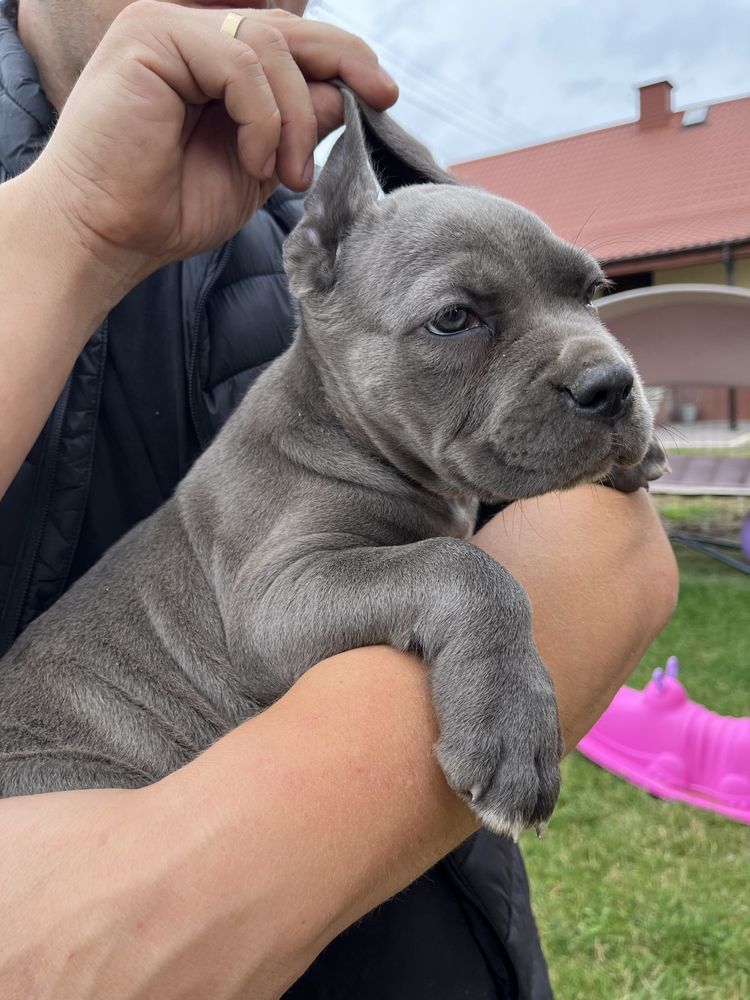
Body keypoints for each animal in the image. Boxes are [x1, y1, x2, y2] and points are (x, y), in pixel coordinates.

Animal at [0, 90, 668, 836]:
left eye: (591, 290)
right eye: (454, 319)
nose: (612, 385)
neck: (343, 428)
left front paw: (636, 457)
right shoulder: (276, 596)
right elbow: (461, 565)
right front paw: (511, 729)